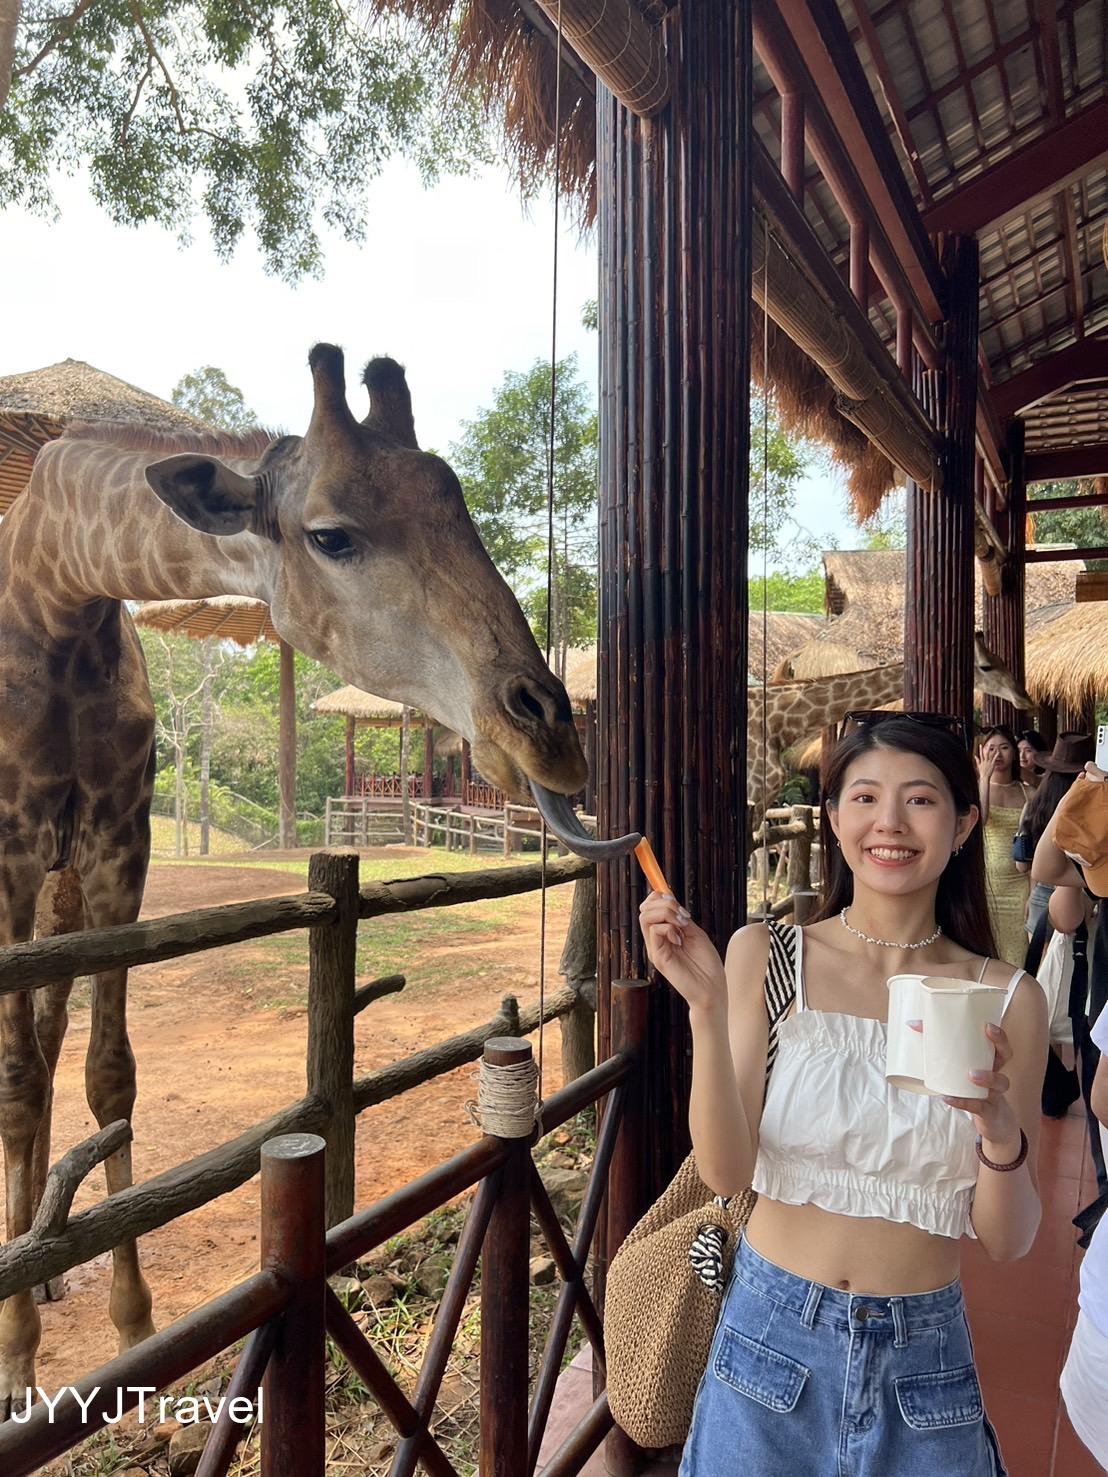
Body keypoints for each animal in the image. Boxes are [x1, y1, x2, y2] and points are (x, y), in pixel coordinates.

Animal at [0, 339, 590, 1412]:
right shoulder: (14, 846)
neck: (53, 586)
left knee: (54, 1032)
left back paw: (49, 1259)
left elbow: (110, 1073)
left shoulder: (114, 845)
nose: (551, 735)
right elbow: (21, 1077)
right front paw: (18, 1354)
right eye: (331, 535)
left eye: (457, 504)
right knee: (21, 1056)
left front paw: (134, 1321)